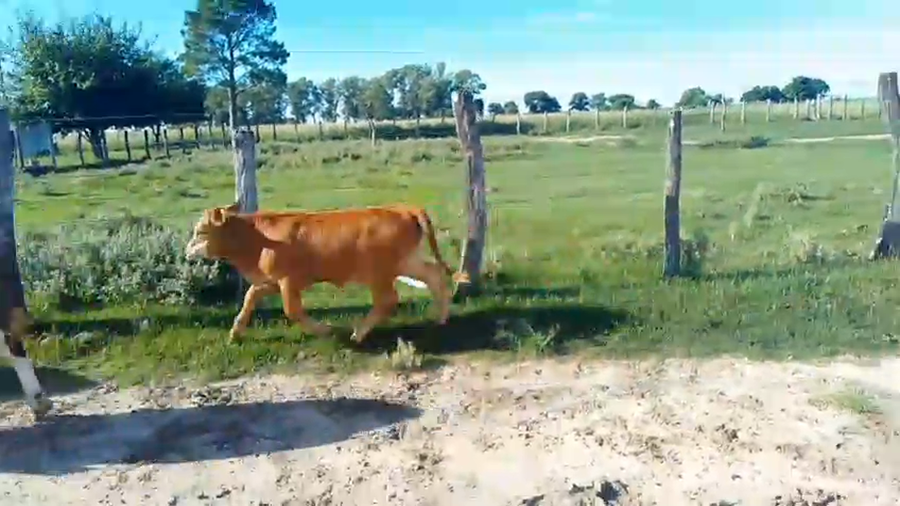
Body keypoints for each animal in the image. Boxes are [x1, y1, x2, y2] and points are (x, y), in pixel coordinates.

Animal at [184, 202, 466, 343]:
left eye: (200, 231)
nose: (186, 251)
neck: (260, 239)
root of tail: (403, 208)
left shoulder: (288, 281)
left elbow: (292, 310)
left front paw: (325, 330)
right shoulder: (273, 281)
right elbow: (251, 296)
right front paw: (236, 331)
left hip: (379, 272)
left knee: (387, 300)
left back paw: (358, 333)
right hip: (405, 262)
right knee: (433, 276)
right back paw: (441, 319)